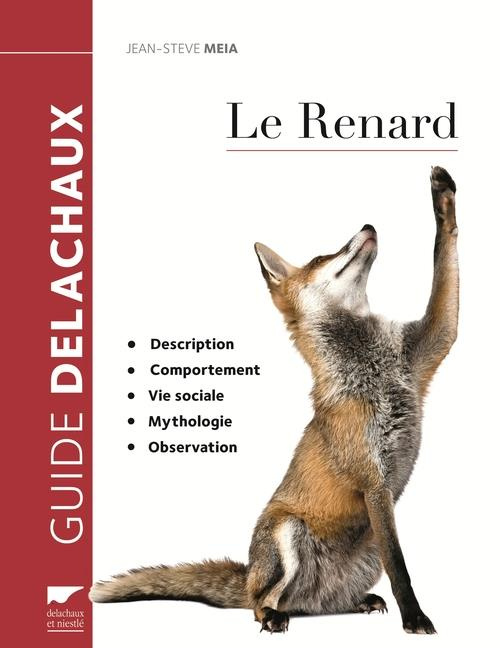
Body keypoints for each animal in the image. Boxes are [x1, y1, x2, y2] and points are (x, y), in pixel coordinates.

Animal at [90, 166, 459, 635]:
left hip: (363, 555)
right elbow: (402, 568)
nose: (368, 226)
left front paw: (443, 196)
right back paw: (271, 616)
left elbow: (444, 257)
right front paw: (415, 618)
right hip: (287, 534)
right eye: (323, 256)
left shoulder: (430, 346)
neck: (370, 365)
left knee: (319, 603)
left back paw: (352, 602)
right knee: (260, 600)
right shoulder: (374, 482)